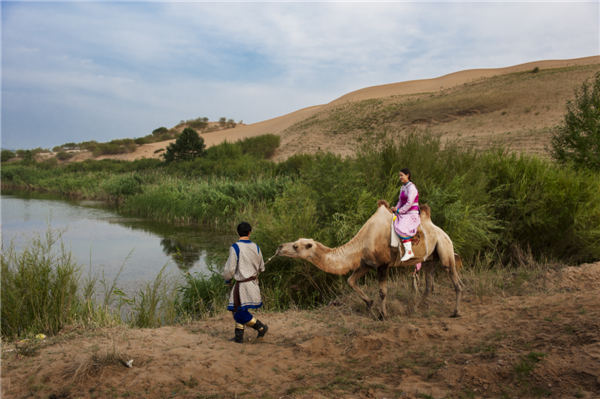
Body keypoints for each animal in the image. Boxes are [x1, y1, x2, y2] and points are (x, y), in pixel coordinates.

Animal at [276, 202, 464, 320]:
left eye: (296, 246)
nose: (280, 247)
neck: (362, 242)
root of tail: (442, 232)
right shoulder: (366, 264)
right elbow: (351, 281)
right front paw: (369, 304)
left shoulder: (383, 265)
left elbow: (382, 291)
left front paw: (382, 315)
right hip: (429, 260)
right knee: (428, 285)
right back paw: (414, 308)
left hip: (445, 249)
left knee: (455, 280)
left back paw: (455, 312)